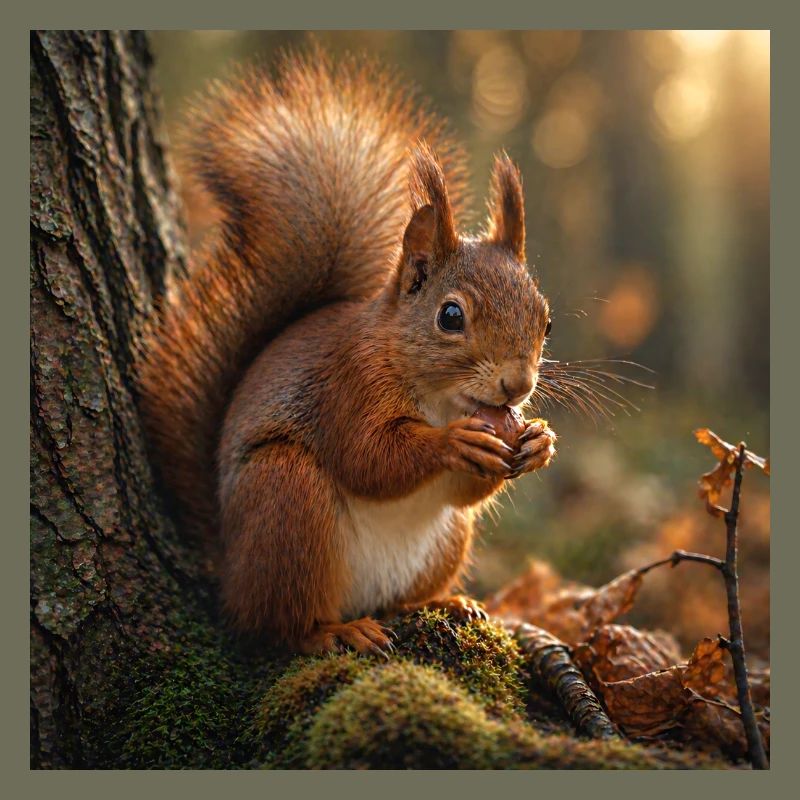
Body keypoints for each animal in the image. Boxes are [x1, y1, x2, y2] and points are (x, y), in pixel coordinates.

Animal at [137, 49, 557, 656]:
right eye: (451, 317)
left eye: (546, 320)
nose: (517, 386)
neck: (441, 398)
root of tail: (229, 567)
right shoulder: (348, 384)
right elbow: (368, 459)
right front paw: (452, 443)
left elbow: (464, 493)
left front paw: (540, 442)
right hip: (287, 497)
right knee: (276, 624)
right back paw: (335, 632)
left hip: (443, 543)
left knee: (400, 592)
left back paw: (444, 604)